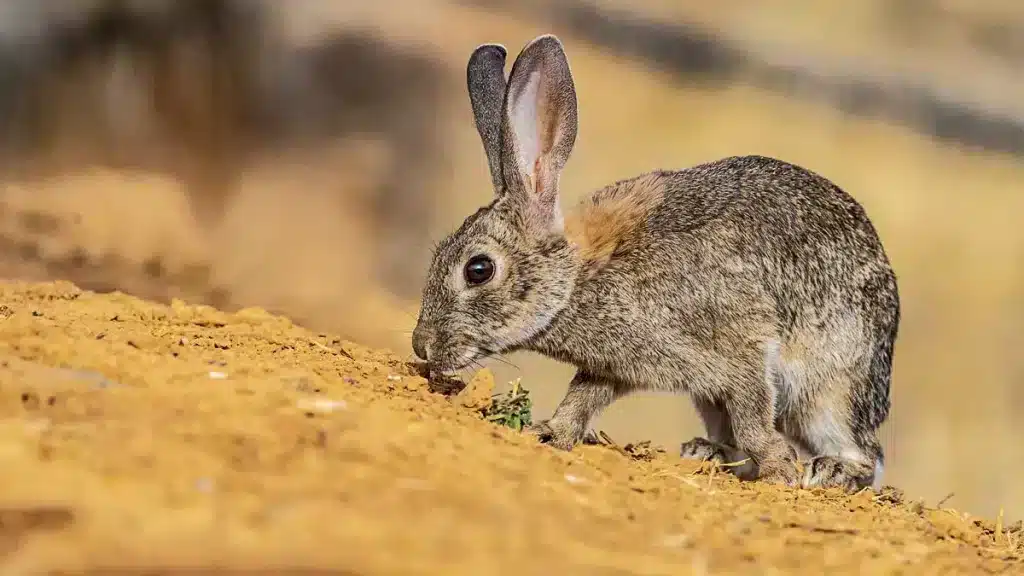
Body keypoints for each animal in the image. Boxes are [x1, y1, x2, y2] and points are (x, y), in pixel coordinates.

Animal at [412, 34, 900, 491]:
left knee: (865, 453)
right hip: (713, 399)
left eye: (478, 270)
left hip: (829, 388)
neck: (579, 276)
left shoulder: (741, 351)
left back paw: (831, 470)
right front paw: (550, 433)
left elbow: (754, 419)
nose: (422, 346)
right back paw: (707, 452)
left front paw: (780, 471)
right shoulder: (614, 365)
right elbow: (582, 397)